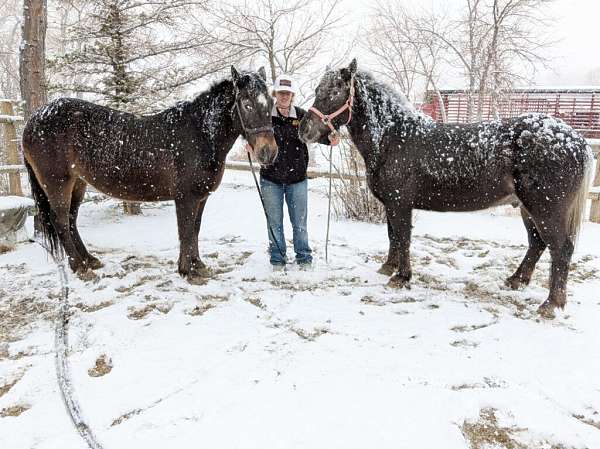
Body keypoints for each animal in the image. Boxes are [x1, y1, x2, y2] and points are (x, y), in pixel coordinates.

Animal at [22, 67, 276, 282]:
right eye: (246, 103)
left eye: (272, 102)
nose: (269, 152)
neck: (199, 134)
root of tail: (32, 121)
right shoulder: (186, 198)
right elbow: (185, 231)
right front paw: (187, 271)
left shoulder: (201, 197)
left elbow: (195, 229)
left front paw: (198, 266)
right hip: (58, 184)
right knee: (60, 221)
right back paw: (80, 268)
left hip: (78, 183)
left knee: (71, 220)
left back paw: (90, 260)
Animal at [302, 59, 592, 316]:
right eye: (318, 90)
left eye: (334, 92)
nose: (304, 130)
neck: (394, 138)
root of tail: (577, 141)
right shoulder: (391, 205)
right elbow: (392, 236)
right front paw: (388, 267)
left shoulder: (400, 204)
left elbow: (403, 238)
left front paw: (402, 277)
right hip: (527, 208)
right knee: (537, 244)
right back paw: (516, 280)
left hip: (546, 210)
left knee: (561, 249)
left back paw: (550, 304)